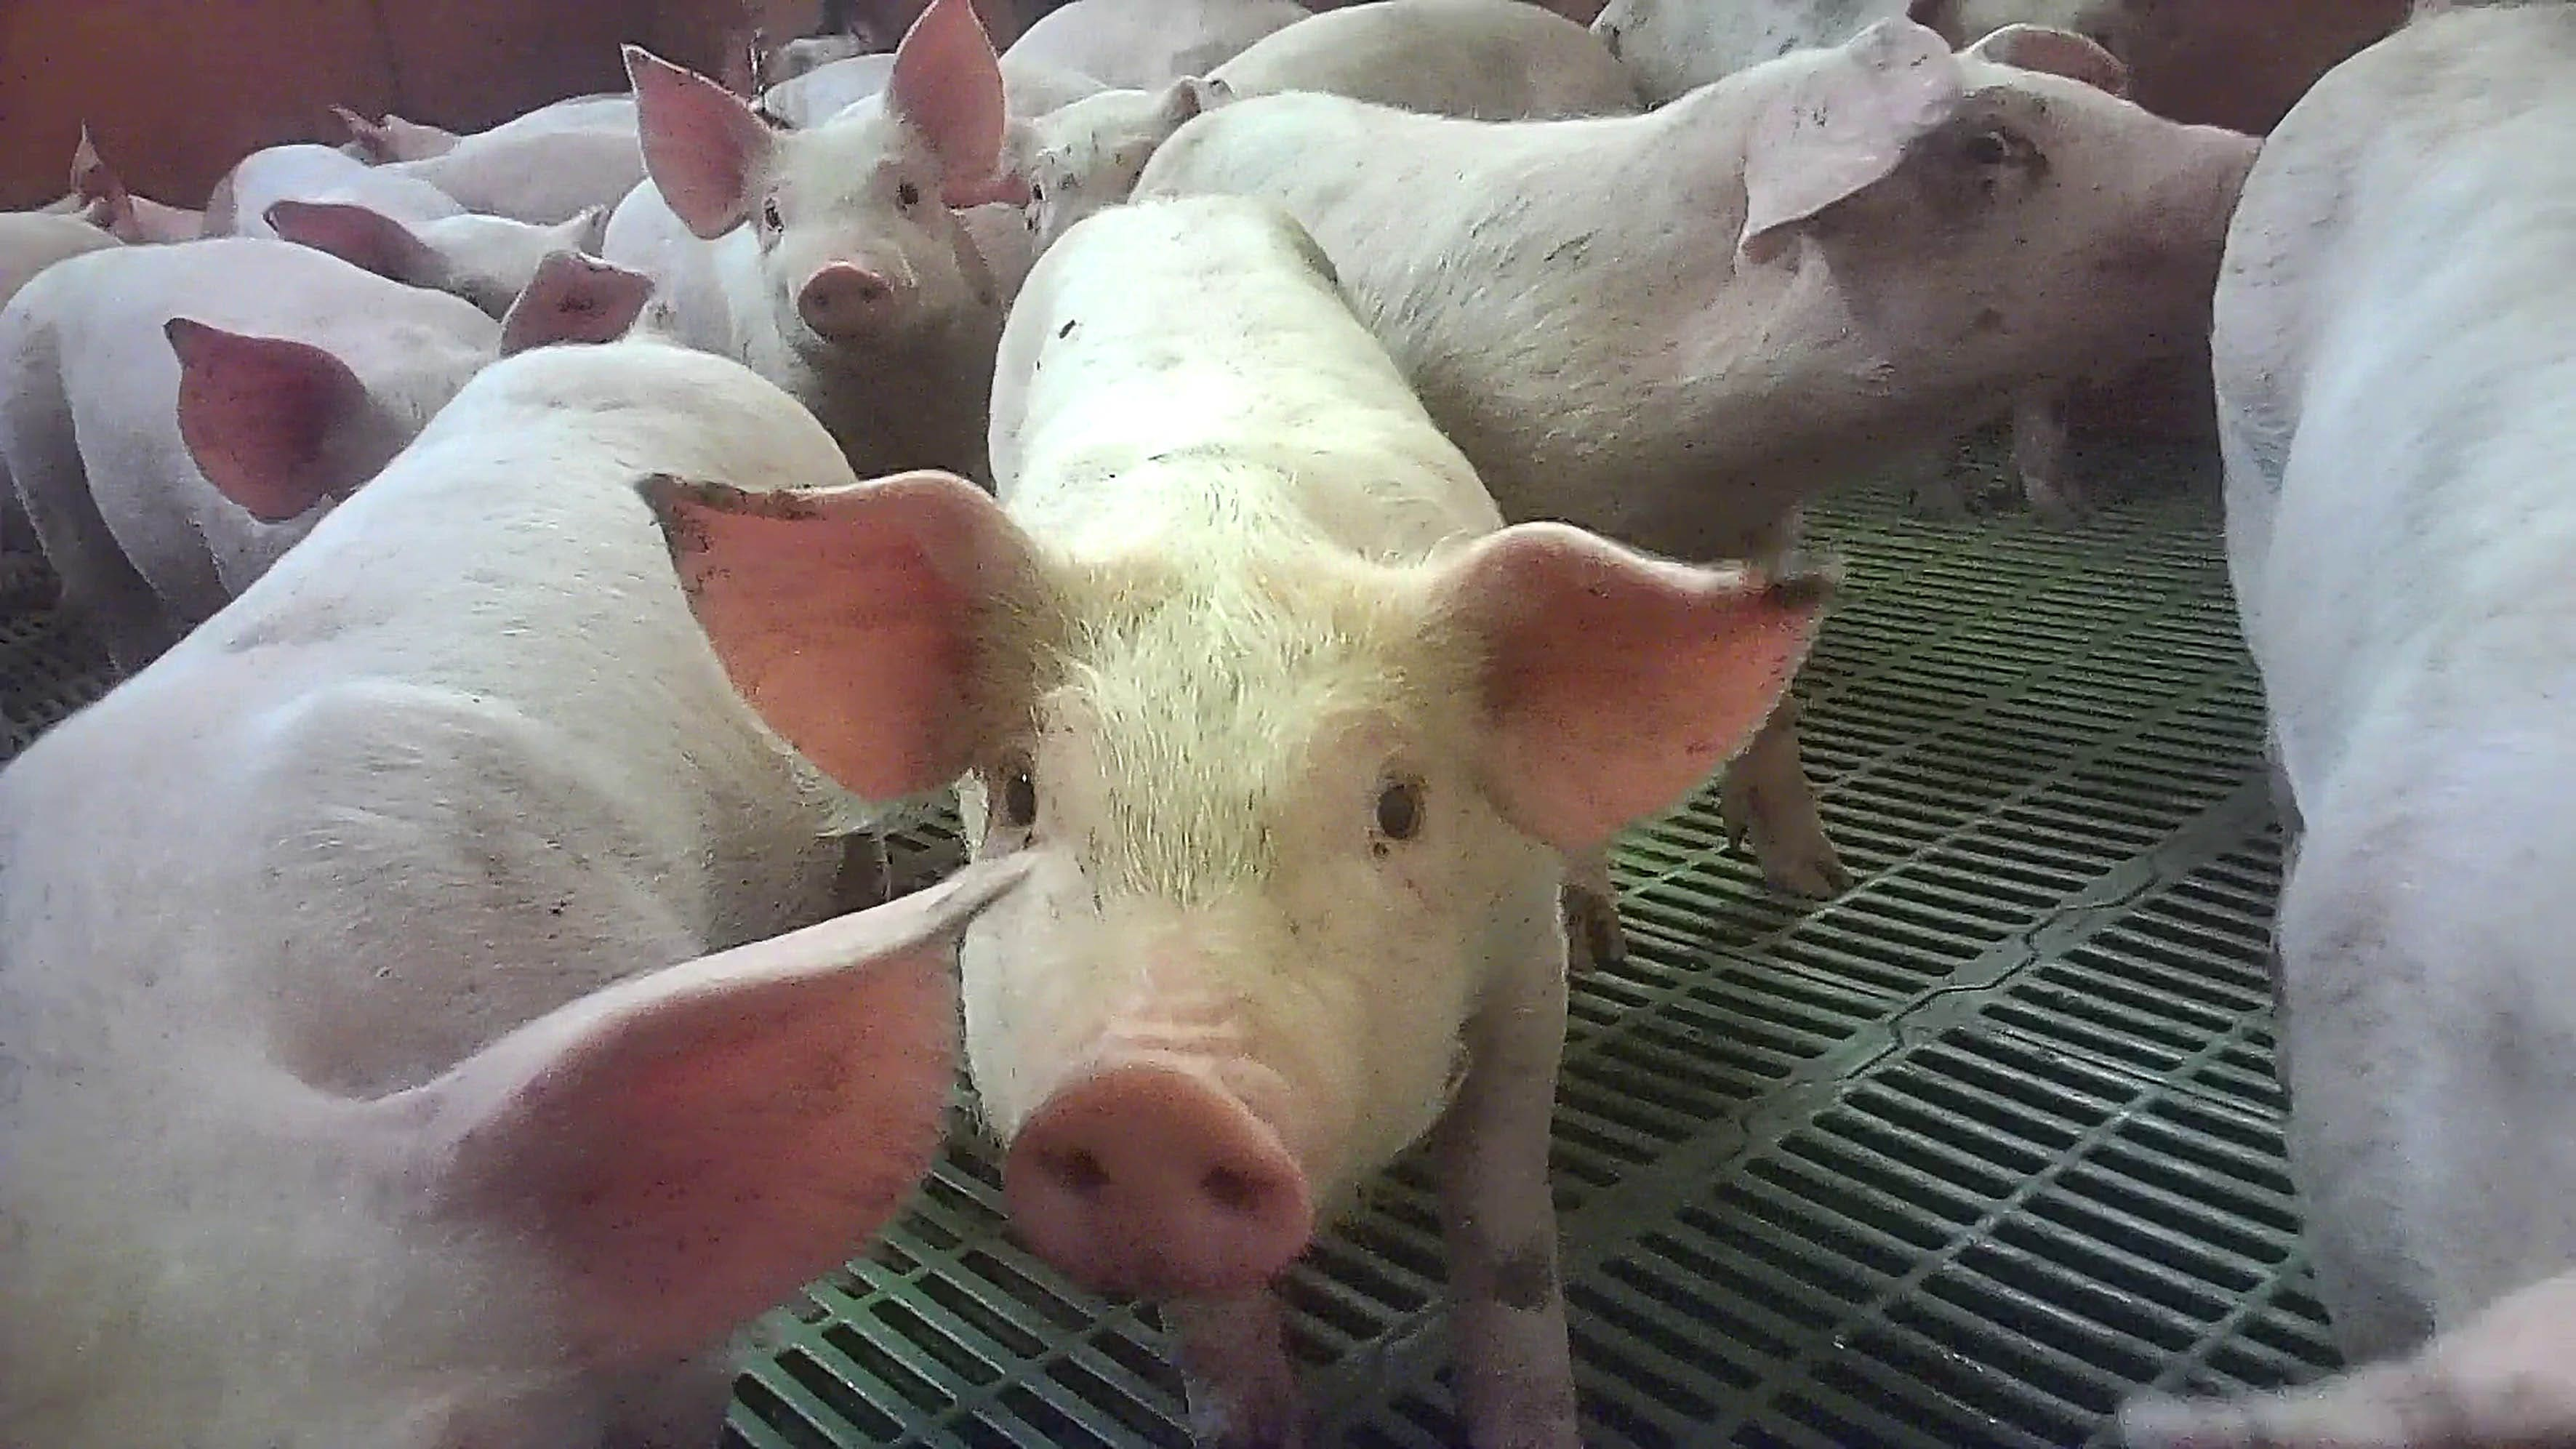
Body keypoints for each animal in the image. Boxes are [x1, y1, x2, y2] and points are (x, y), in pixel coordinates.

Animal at [643, 191, 1830, 1449]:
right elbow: (1213, 1331)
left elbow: (1505, 1247)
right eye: (1019, 795)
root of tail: (1152, 204)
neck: (1229, 531)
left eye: (1397, 806)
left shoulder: (1523, 982)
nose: (1147, 1102)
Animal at [1138, 18, 2257, 896]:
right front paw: (1599, 939)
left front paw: (1818, 881)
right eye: (1990, 145)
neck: (1710, 464)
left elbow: (1770, 711)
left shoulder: (1759, 525)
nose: (2254, 156)